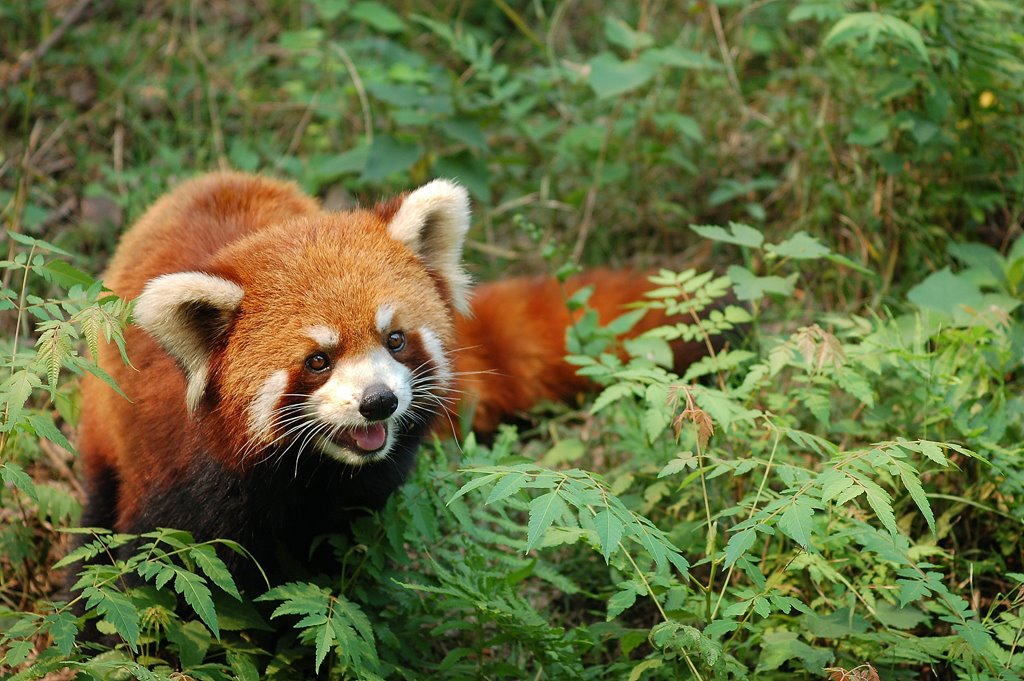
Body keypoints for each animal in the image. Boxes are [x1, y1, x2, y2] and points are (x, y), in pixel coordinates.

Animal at [74, 171, 712, 577]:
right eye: (318, 360)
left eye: (396, 339)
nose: (378, 402)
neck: (308, 477)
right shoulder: (177, 472)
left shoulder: (356, 498)